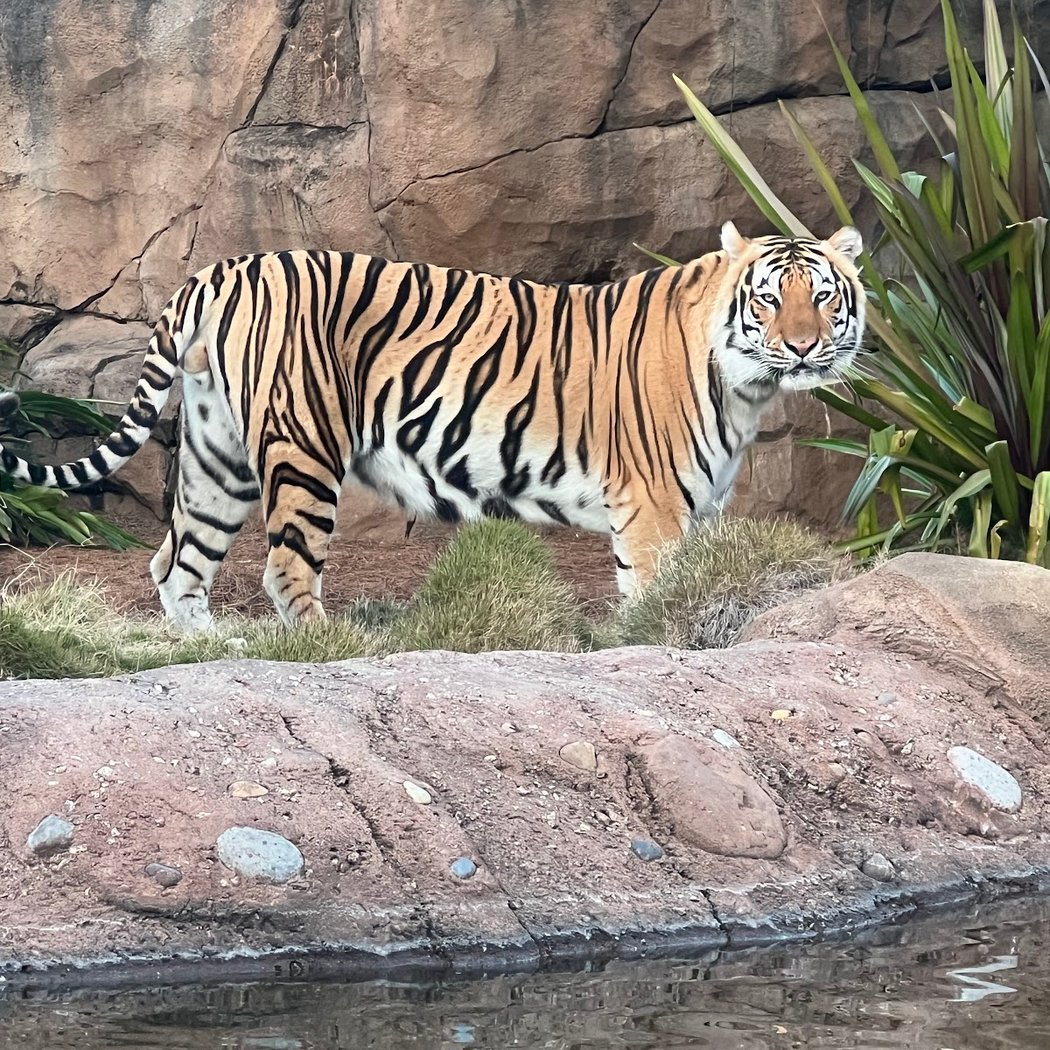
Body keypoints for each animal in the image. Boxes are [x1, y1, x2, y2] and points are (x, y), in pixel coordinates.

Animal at [0, 221, 865, 633]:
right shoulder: (652, 508)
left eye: (822, 296)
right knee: (285, 570)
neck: (749, 389)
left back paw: (211, 647)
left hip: (218, 459)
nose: (801, 345)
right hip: (303, 449)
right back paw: (332, 644)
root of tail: (217, 270)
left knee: (174, 562)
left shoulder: (698, 506)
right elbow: (654, 594)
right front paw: (654, 642)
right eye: (767, 298)